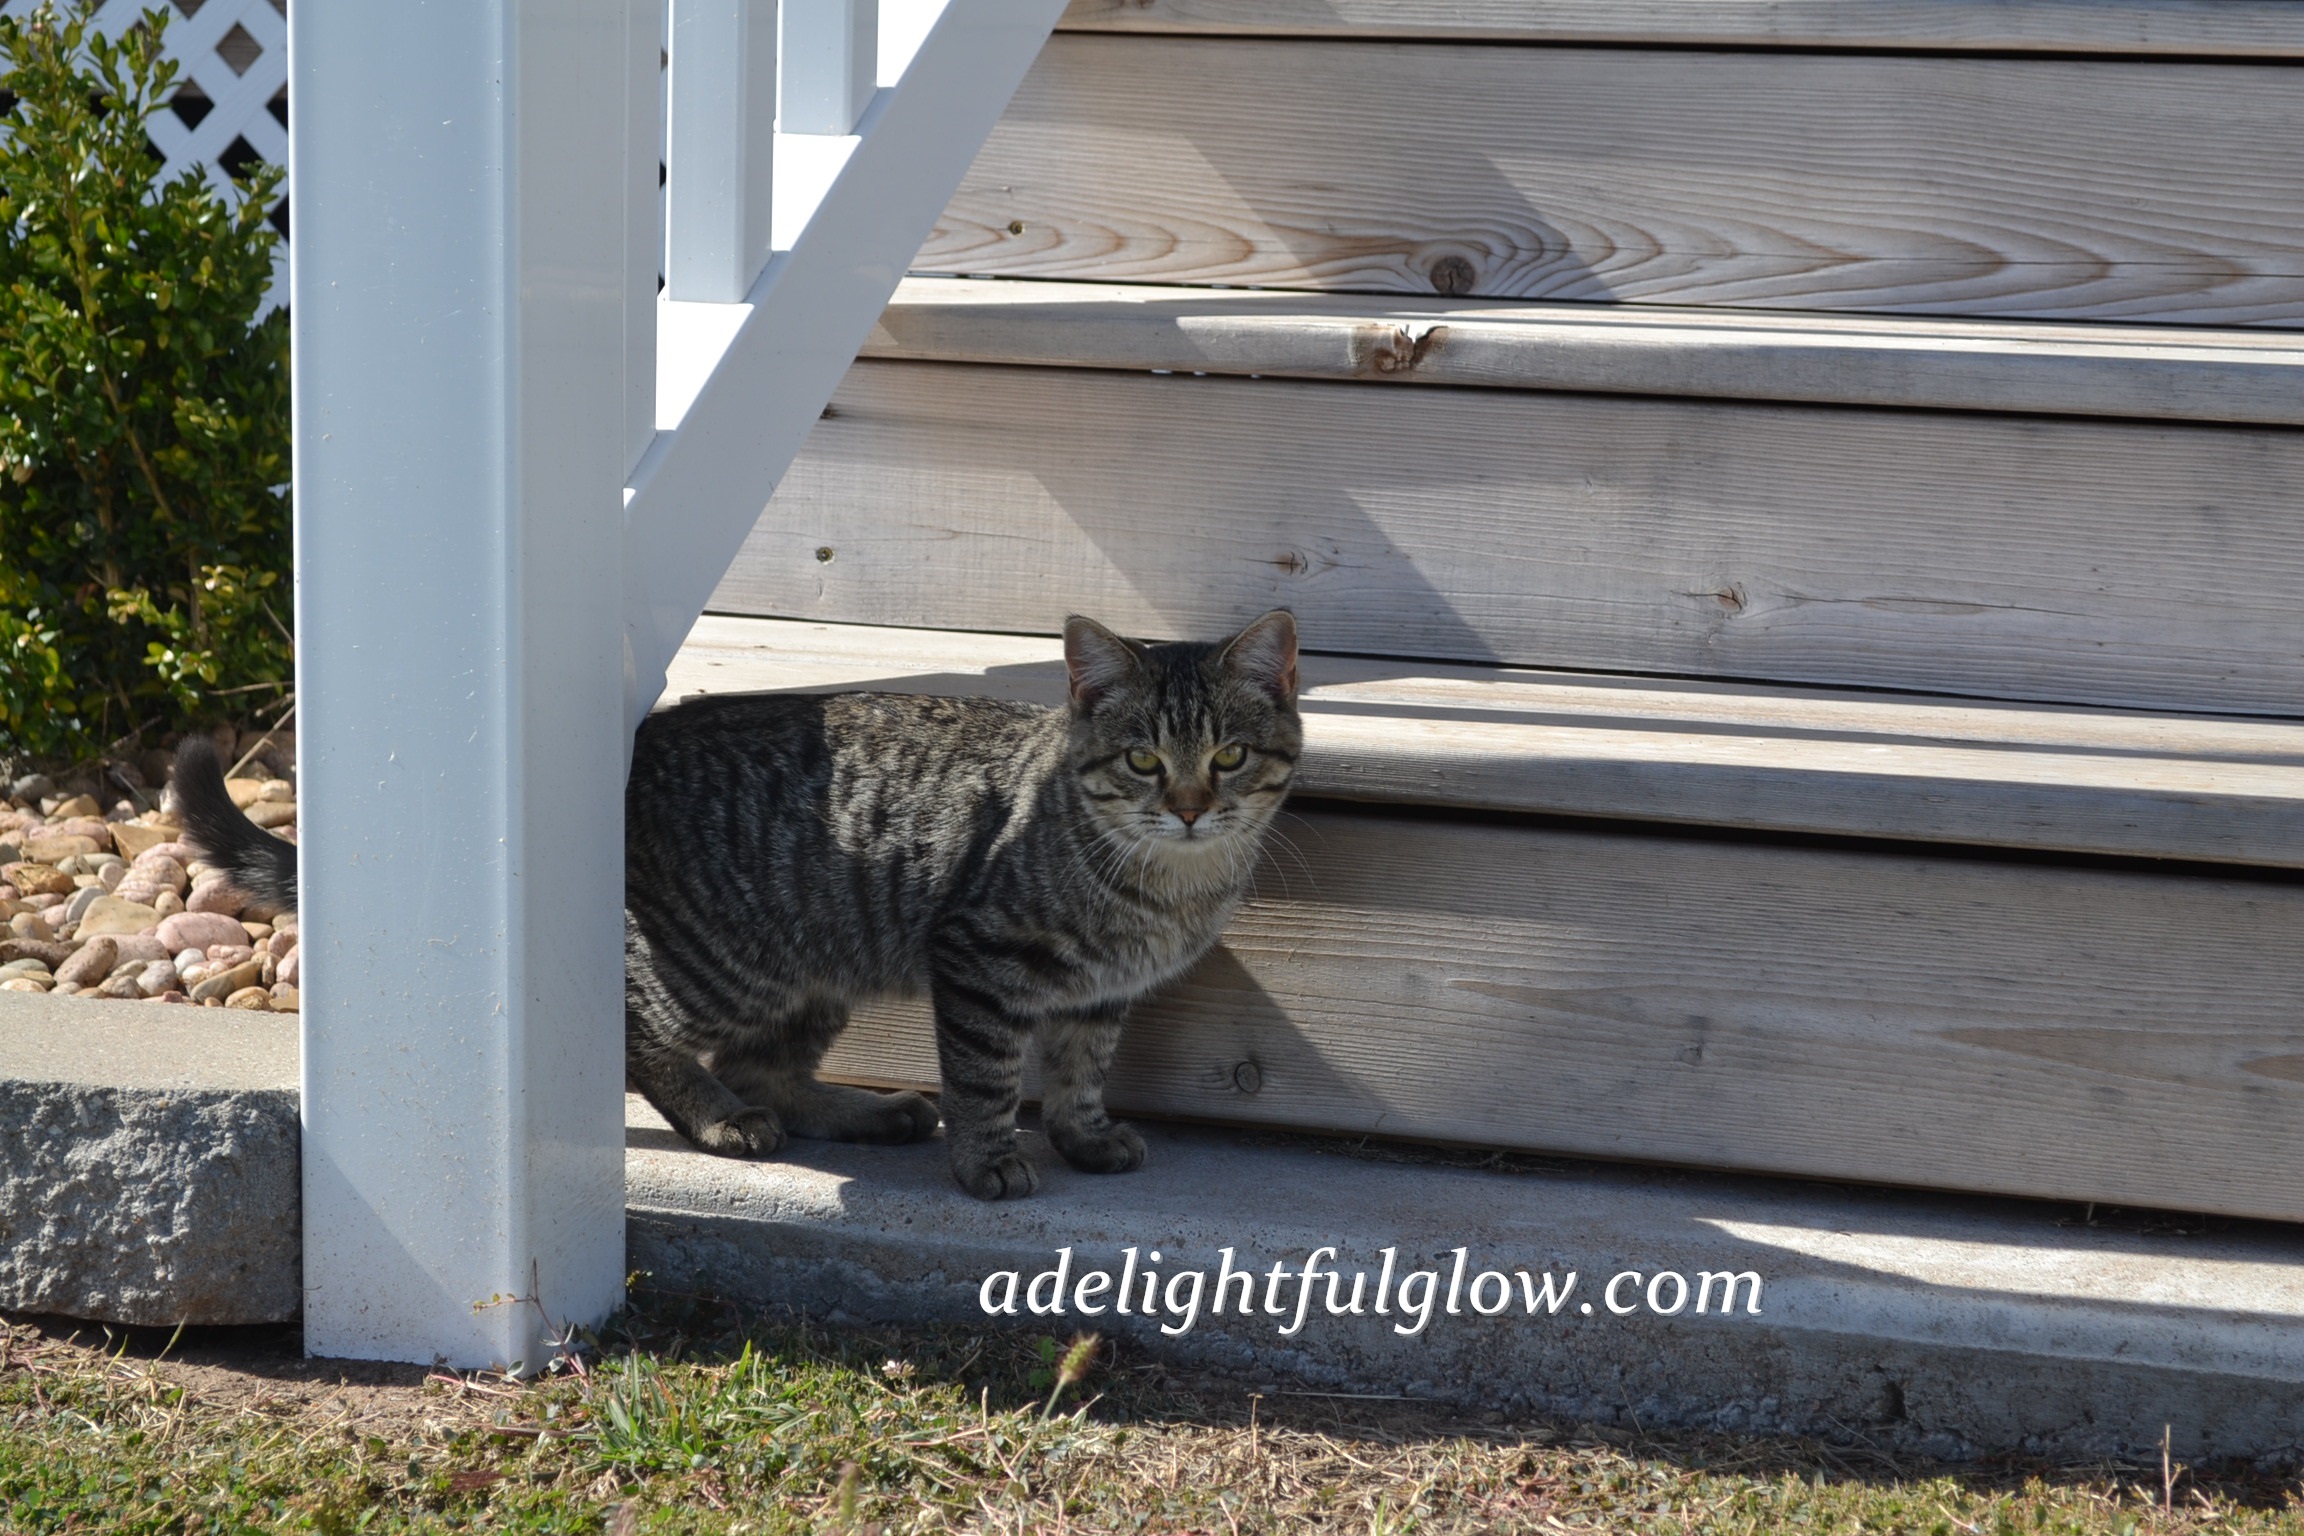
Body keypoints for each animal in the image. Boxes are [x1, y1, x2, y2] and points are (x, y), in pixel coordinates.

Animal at [176, 610, 1302, 1200]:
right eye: (1145, 761)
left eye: (1230, 756)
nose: (1191, 805)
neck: (1165, 890)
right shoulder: (979, 958)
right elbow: (988, 1078)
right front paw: (989, 1157)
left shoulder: (1098, 998)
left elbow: (1077, 1072)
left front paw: (1082, 1133)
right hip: (720, 966)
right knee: (645, 1042)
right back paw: (722, 1119)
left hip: (819, 975)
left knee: (770, 1067)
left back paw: (864, 1111)